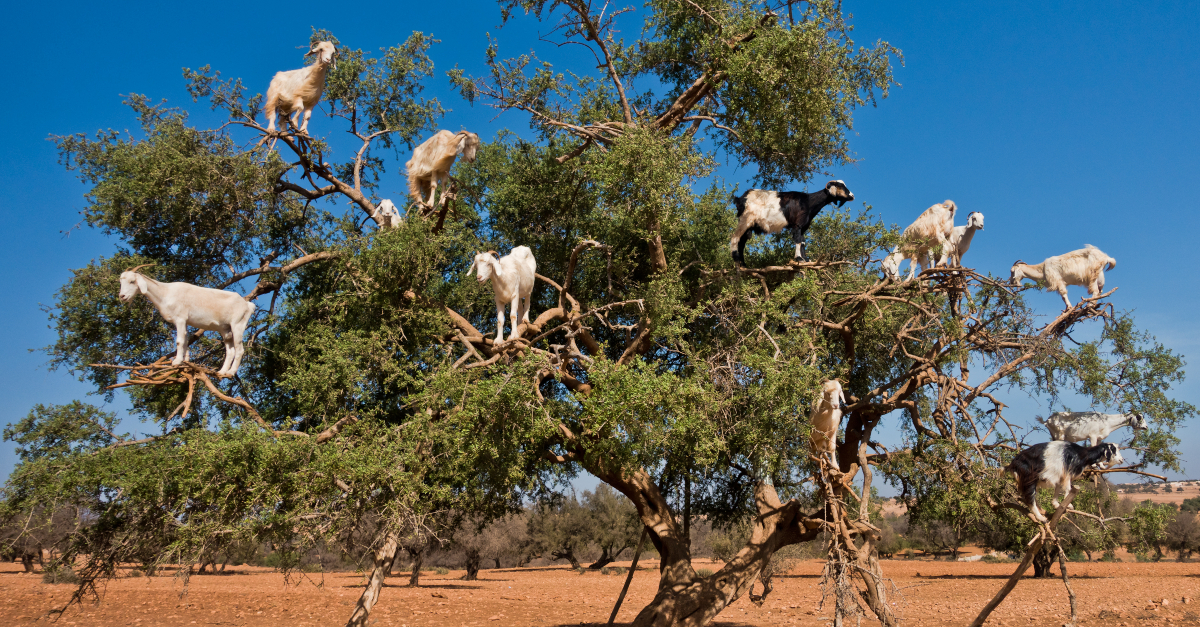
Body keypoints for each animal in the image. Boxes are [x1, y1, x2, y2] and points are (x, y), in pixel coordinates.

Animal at [117, 263, 255, 374]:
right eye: (121, 282)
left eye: (132, 281)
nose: (122, 296)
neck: (165, 293)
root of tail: (247, 305)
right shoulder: (184, 321)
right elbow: (185, 340)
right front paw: (185, 362)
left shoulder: (180, 318)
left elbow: (179, 340)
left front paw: (176, 362)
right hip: (225, 329)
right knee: (230, 350)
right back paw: (222, 372)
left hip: (237, 325)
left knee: (240, 349)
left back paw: (231, 372)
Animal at [724, 177, 859, 263]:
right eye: (841, 186)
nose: (852, 196)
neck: (808, 202)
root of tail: (741, 198)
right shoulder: (797, 225)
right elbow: (798, 240)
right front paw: (799, 258)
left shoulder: (803, 226)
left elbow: (803, 241)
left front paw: (806, 259)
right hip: (745, 221)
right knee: (735, 238)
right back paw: (736, 259)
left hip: (750, 225)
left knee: (742, 242)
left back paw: (743, 264)